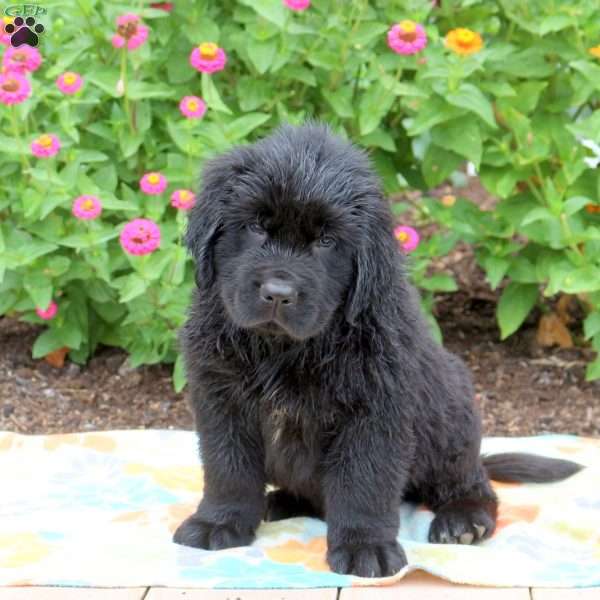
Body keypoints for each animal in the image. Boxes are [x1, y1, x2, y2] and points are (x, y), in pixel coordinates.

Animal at [173, 122, 580, 576]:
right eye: (257, 227)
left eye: (326, 241)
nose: (278, 293)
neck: (284, 349)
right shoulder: (220, 396)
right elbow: (228, 468)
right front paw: (218, 522)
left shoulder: (375, 410)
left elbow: (362, 481)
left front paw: (364, 547)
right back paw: (279, 501)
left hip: (452, 419)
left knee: (473, 485)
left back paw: (463, 521)